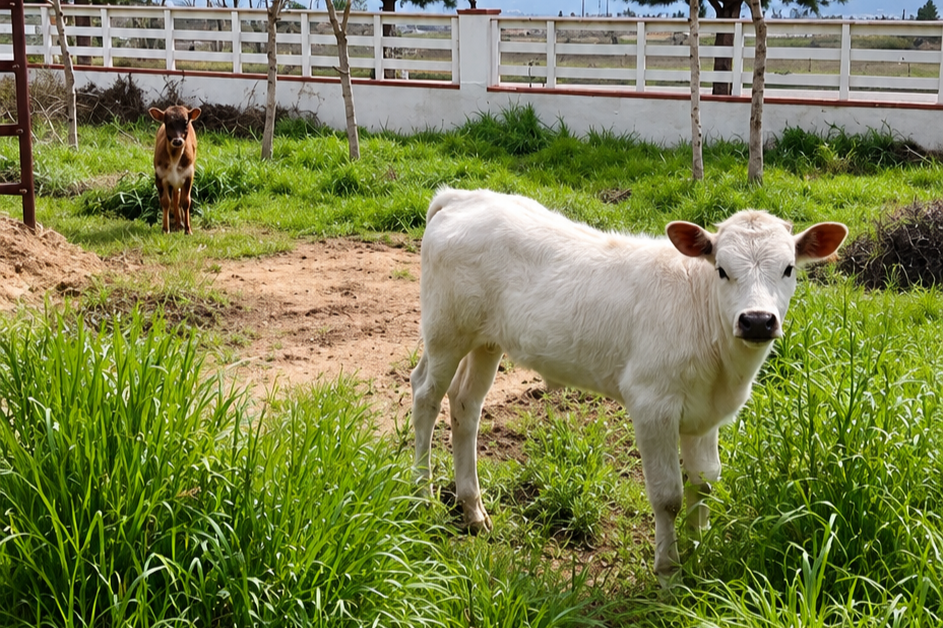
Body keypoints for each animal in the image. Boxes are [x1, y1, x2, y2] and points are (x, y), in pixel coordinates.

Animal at [149, 105, 201, 235]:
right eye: (168, 123)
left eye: (186, 122)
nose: (177, 141)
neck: (174, 157)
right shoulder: (160, 176)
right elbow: (166, 201)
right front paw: (165, 229)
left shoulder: (188, 175)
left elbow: (186, 201)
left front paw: (188, 230)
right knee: (174, 198)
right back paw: (177, 224)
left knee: (177, 197)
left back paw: (180, 223)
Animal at [410, 187, 847, 585]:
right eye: (722, 270)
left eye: (789, 268)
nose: (757, 320)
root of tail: (461, 196)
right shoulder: (652, 405)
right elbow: (668, 495)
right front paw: (669, 572)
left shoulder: (705, 415)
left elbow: (705, 482)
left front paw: (699, 554)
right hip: (446, 332)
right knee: (425, 395)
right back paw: (422, 496)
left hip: (486, 341)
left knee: (465, 404)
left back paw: (473, 510)